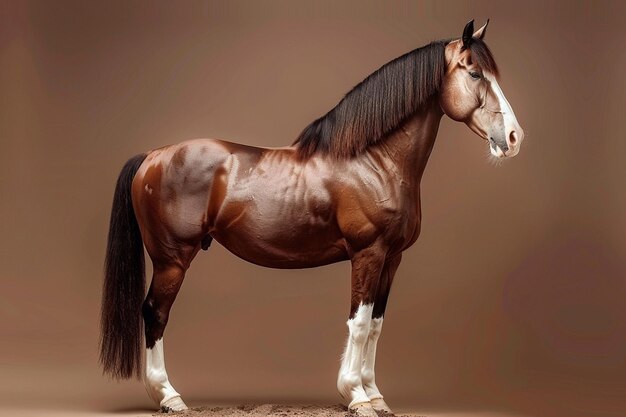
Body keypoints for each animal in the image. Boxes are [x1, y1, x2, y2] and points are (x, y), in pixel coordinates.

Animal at [100, 20, 520, 416]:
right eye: (474, 73)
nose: (514, 137)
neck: (373, 160)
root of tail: (153, 155)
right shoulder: (368, 254)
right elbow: (359, 323)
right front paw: (356, 396)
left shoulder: (392, 258)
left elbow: (377, 326)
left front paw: (376, 395)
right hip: (171, 260)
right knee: (155, 314)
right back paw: (169, 397)